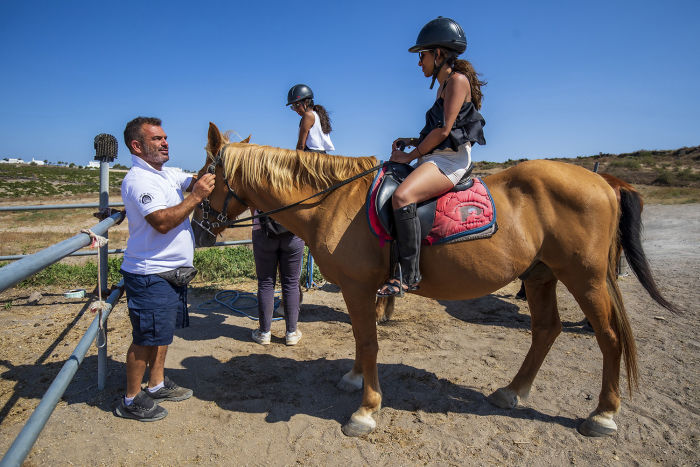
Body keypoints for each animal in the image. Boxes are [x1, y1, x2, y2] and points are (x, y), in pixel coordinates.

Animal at [194, 123, 676, 438]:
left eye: (203, 177)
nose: (198, 231)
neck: (334, 201)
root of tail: (603, 181)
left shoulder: (358, 286)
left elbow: (368, 341)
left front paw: (365, 411)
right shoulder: (360, 289)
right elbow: (361, 338)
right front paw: (354, 379)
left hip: (585, 278)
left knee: (609, 337)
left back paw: (602, 415)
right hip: (541, 275)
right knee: (545, 330)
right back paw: (512, 392)